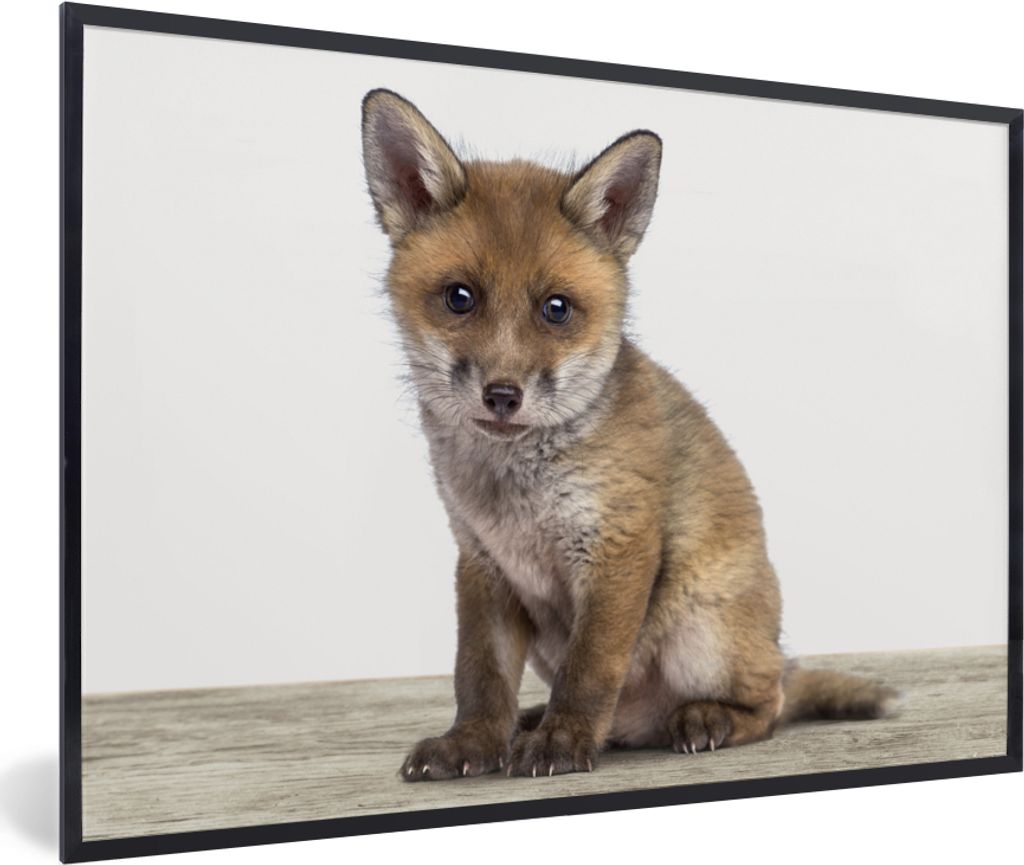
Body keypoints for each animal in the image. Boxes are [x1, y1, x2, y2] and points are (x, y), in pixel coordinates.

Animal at [360, 88, 899, 781]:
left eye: (556, 309)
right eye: (460, 298)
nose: (503, 396)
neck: (517, 494)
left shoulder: (619, 546)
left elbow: (590, 669)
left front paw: (562, 741)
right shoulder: (481, 564)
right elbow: (478, 676)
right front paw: (473, 742)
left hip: (701, 632)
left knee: (770, 705)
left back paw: (704, 719)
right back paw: (538, 722)